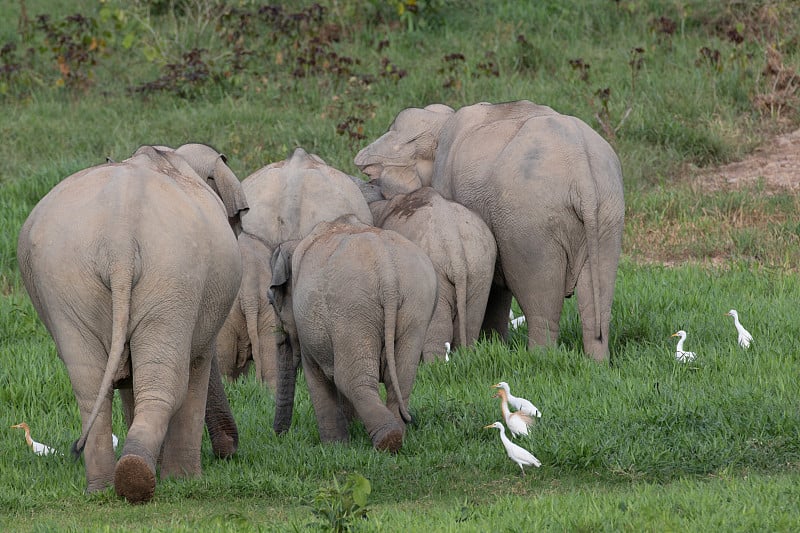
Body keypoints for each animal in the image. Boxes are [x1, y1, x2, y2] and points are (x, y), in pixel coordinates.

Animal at [17, 142, 248, 502]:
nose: (229, 452)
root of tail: (120, 239)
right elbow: (197, 366)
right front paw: (185, 480)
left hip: (69, 281)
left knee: (90, 384)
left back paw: (105, 485)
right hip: (172, 275)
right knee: (164, 383)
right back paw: (139, 476)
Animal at [268, 214, 438, 450]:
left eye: (271, 301)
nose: (278, 436)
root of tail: (388, 275)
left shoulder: (307, 326)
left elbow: (315, 374)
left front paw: (334, 448)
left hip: (352, 310)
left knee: (350, 379)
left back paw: (387, 440)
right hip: (416, 305)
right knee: (401, 377)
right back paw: (397, 436)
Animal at [368, 186, 494, 362]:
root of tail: (454, 244)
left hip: (439, 271)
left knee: (439, 328)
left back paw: (434, 365)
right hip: (481, 265)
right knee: (472, 322)